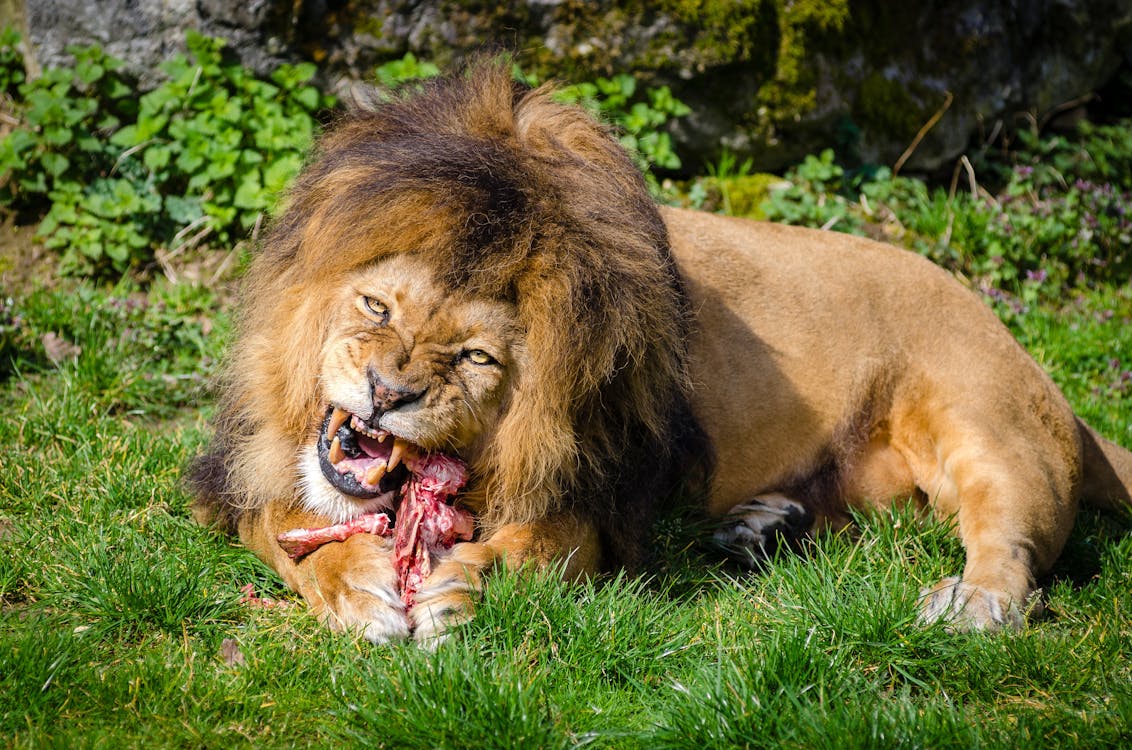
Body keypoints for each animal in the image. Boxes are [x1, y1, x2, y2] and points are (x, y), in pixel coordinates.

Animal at [190, 61, 1132, 647]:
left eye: (476, 360)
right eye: (377, 306)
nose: (386, 394)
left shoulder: (596, 502)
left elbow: (533, 549)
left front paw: (464, 587)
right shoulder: (242, 472)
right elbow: (290, 531)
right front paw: (358, 588)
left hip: (986, 426)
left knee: (1011, 545)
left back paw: (968, 604)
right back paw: (761, 527)